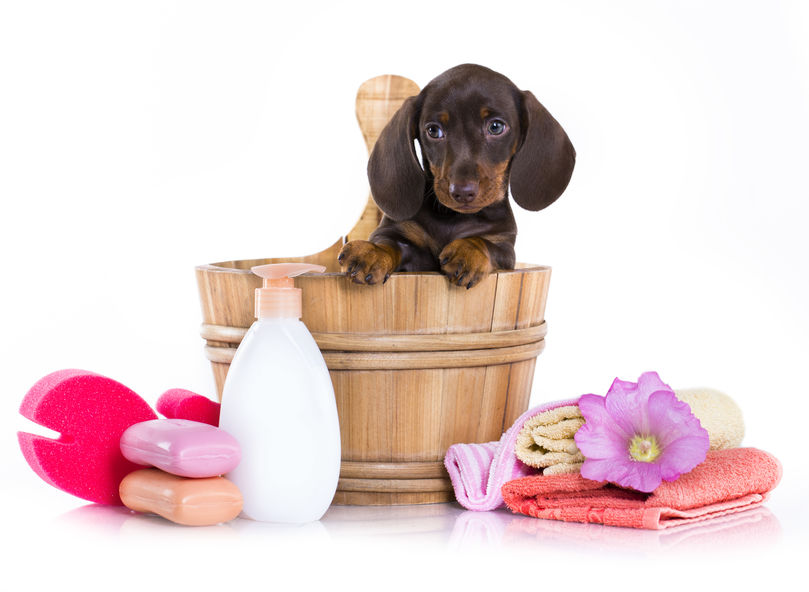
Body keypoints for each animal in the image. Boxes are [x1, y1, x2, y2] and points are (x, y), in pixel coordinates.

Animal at [340, 63, 576, 290]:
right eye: (433, 131)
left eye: (496, 126)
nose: (462, 192)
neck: (452, 218)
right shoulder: (397, 232)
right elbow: (388, 243)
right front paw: (371, 252)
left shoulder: (505, 248)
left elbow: (484, 242)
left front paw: (468, 251)